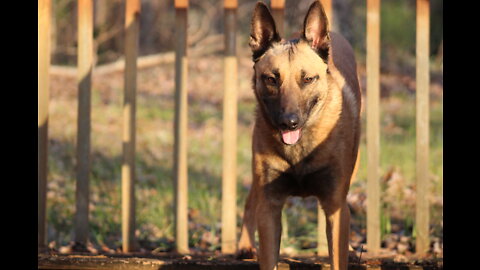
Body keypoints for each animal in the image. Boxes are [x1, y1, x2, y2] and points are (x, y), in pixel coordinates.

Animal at [236, 1, 360, 268]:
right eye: (271, 79)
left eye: (308, 79)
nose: (289, 123)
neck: (300, 151)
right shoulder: (270, 207)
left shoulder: (335, 205)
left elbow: (337, 251)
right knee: (251, 200)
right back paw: (244, 246)